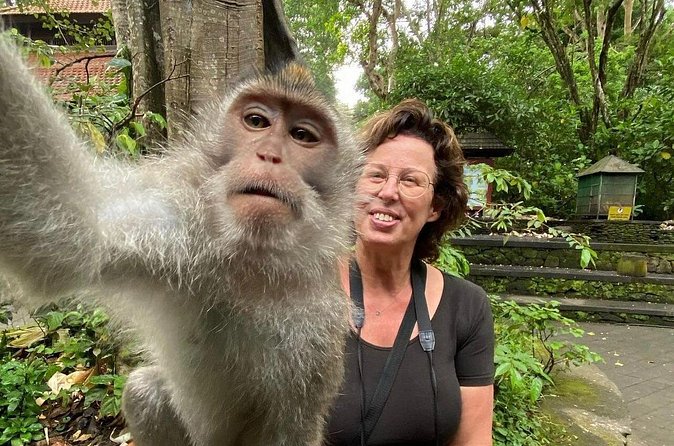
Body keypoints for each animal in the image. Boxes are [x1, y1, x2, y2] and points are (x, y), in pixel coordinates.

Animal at [0, 36, 362, 446]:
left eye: (302, 136)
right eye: (256, 121)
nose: (269, 155)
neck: (250, 263)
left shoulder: (318, 330)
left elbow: (290, 430)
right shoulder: (176, 228)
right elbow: (74, 236)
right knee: (145, 392)